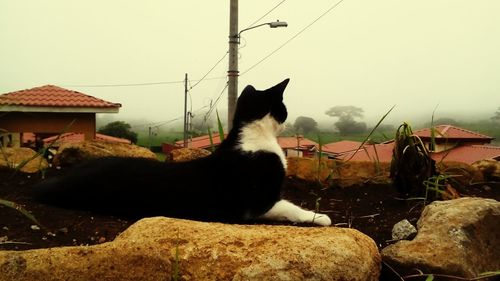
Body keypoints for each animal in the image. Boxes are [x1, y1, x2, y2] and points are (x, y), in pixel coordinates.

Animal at [34, 78, 332, 225]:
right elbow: (290, 206)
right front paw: (319, 217)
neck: (254, 136)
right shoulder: (257, 203)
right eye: (283, 108)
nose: (288, 120)